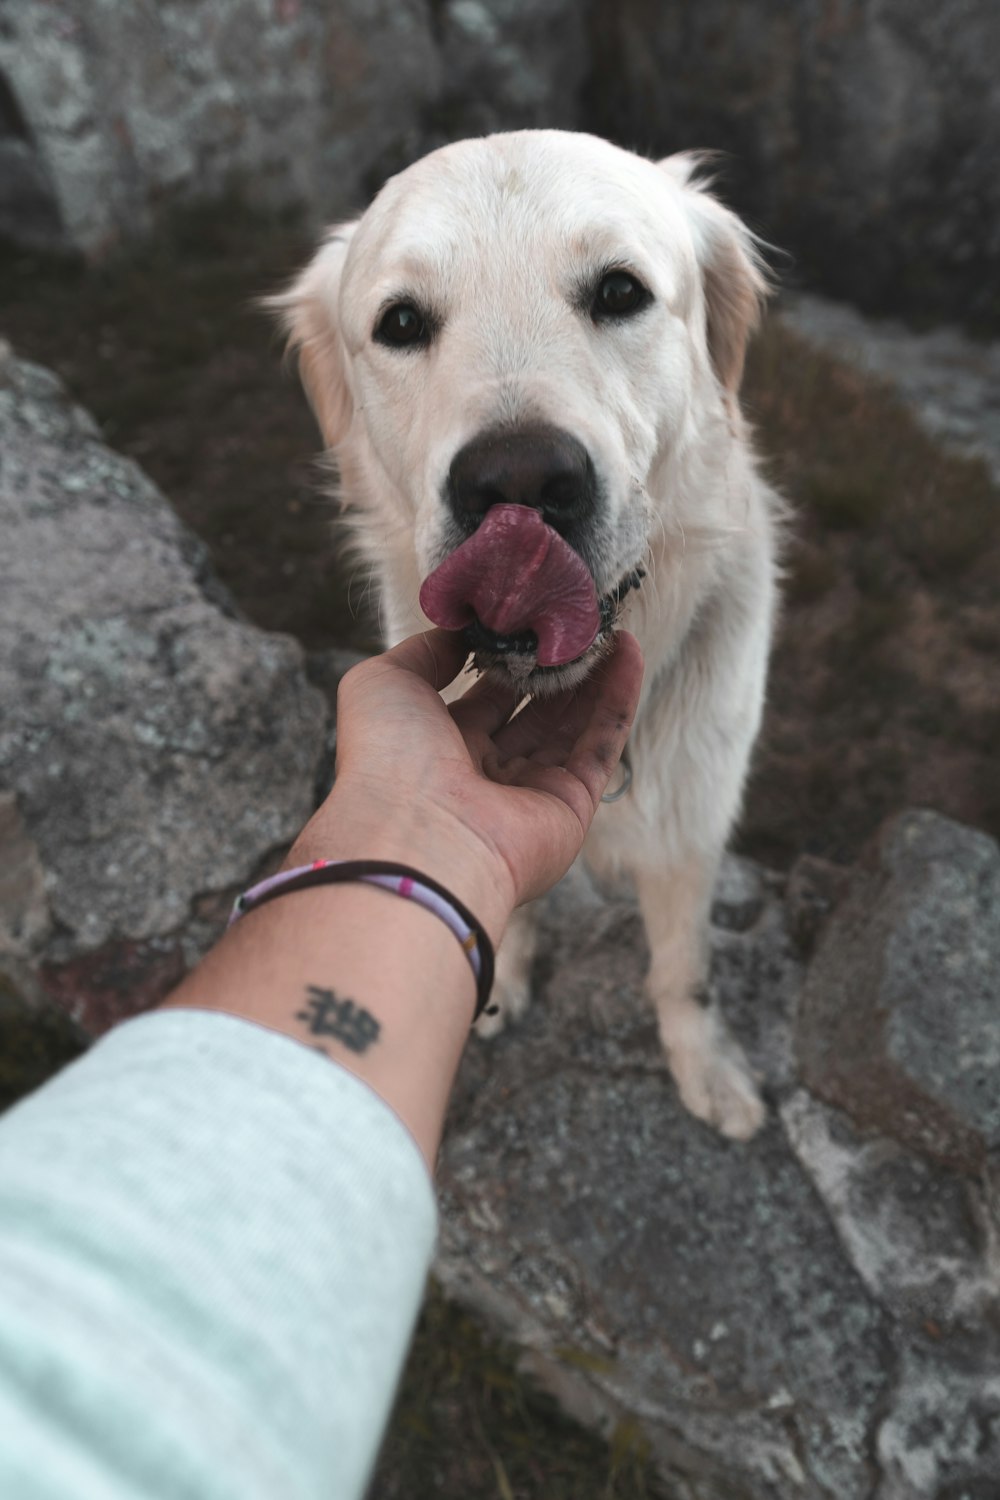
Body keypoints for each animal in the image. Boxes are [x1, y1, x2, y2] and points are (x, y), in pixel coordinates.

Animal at [274, 135, 779, 1134]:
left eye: (620, 291)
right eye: (400, 322)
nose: (519, 484)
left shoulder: (693, 822)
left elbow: (684, 967)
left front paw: (704, 1067)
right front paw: (499, 982)